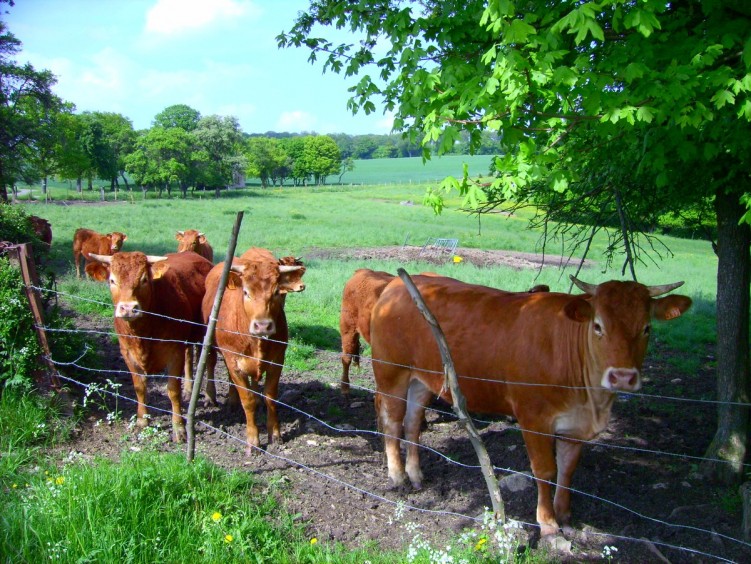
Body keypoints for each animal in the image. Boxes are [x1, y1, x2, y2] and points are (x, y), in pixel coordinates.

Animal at [92, 250, 214, 440]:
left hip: (204, 330)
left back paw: (209, 395)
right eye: (112, 280)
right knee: (189, 355)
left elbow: (173, 390)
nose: (128, 308)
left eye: (144, 280)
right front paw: (142, 420)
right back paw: (189, 389)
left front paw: (178, 427)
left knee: (206, 359)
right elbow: (139, 387)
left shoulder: (174, 352)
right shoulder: (127, 353)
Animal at [203, 247, 306, 454]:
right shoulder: (234, 361)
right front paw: (253, 440)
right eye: (246, 292)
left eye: (276, 292)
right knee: (211, 363)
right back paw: (213, 397)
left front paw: (275, 434)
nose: (263, 325)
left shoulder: (277, 361)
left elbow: (271, 396)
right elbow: (247, 400)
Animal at [370, 276, 692, 540]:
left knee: (413, 422)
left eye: (647, 328)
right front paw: (548, 523)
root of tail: (395, 285)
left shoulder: (575, 426)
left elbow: (568, 469)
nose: (622, 376)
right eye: (598, 326)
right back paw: (397, 475)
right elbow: (545, 469)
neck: (592, 402)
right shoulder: (534, 418)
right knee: (393, 420)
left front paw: (565, 515)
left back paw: (415, 474)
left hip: (422, 379)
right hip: (391, 371)